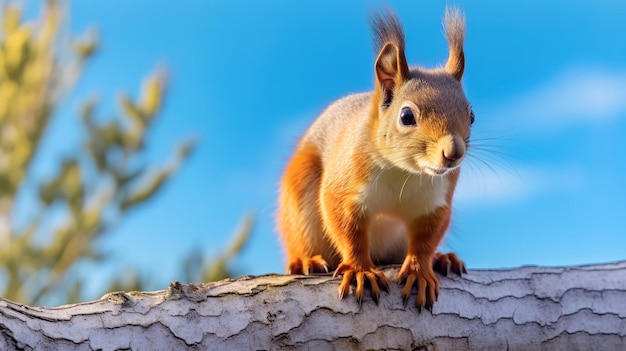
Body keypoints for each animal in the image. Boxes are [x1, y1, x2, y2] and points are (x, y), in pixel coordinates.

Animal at [276, 6, 468, 310]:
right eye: (406, 116)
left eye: (471, 115)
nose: (453, 153)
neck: (405, 173)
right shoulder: (343, 185)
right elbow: (346, 228)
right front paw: (360, 270)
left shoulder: (435, 203)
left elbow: (426, 240)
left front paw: (420, 270)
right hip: (300, 196)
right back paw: (306, 260)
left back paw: (443, 259)